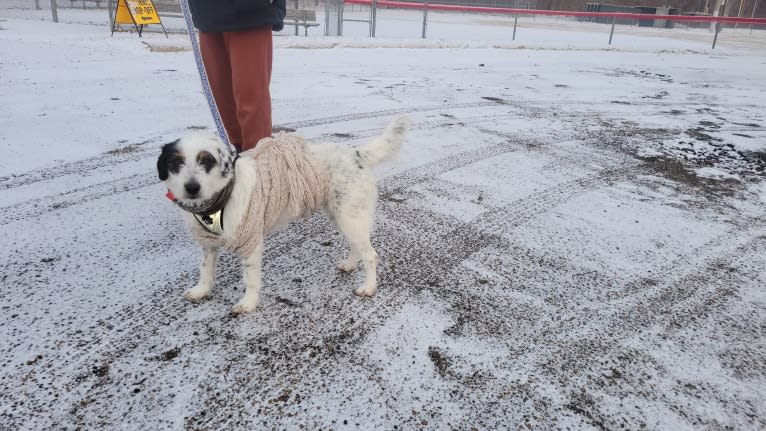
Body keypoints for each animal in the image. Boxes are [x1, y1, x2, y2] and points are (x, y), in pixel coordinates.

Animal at [153, 117, 412, 314]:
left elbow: (250, 279)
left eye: (207, 160)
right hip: (340, 216)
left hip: (350, 218)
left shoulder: (251, 242)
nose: (191, 187)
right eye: (176, 162)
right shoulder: (208, 244)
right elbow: (205, 270)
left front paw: (248, 303)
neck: (220, 200)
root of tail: (356, 153)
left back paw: (369, 287)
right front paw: (201, 290)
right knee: (358, 248)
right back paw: (349, 265)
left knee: (370, 254)